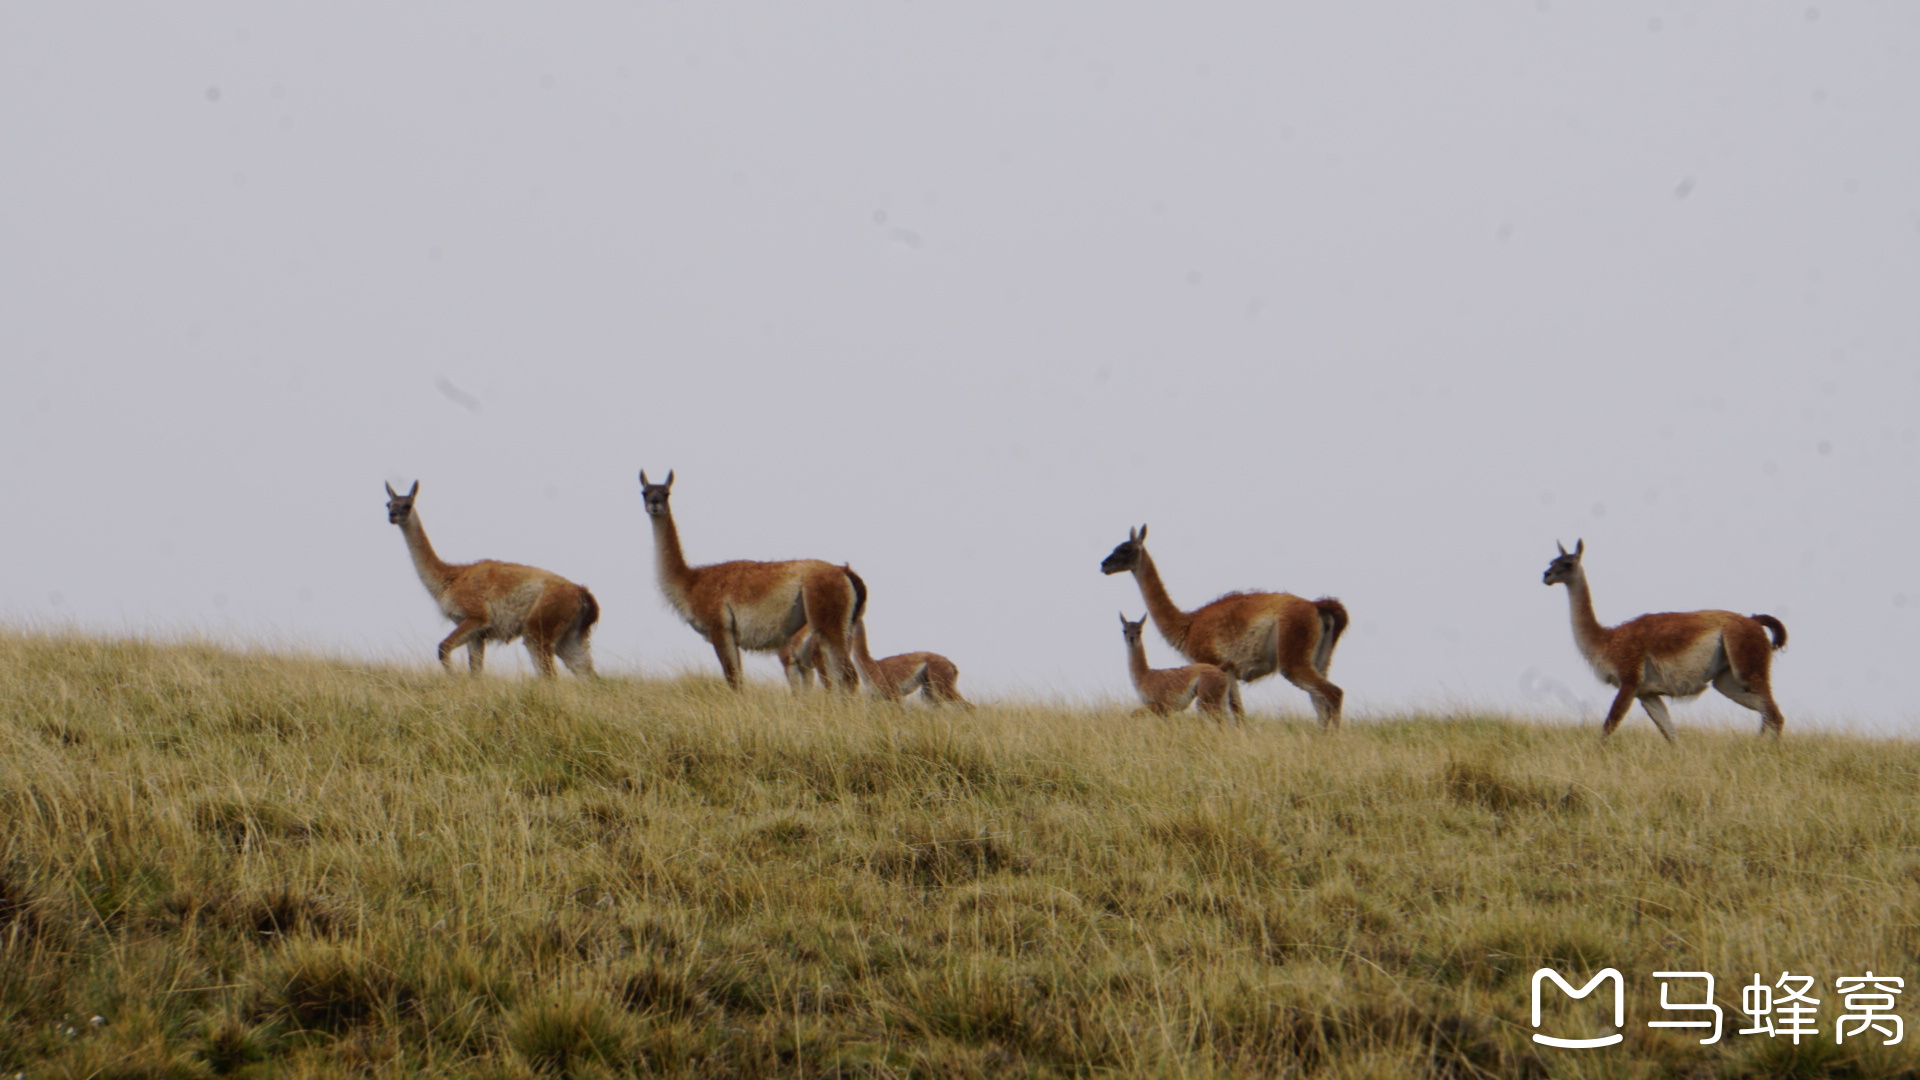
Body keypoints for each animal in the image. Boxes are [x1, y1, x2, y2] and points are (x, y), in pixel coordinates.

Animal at [385, 476, 595, 672]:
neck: (450, 578)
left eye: (407, 504)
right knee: (588, 674)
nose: (392, 515)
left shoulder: (476, 617)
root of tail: (583, 593)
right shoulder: (477, 634)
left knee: (550, 676)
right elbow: (476, 671)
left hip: (539, 629)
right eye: (388, 504)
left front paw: (454, 677)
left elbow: (443, 648)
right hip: (570, 639)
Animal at [1536, 538, 1789, 737]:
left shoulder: (1629, 679)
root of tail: (1754, 621)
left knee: (1774, 715)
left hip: (1748, 664)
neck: (1607, 640)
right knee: (1765, 713)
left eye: (1567, 563)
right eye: (1551, 562)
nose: (1546, 576)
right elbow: (1670, 734)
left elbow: (1608, 726)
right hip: (1726, 680)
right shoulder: (1647, 693)